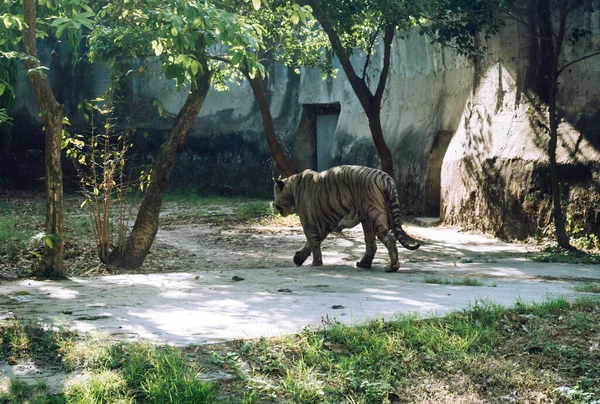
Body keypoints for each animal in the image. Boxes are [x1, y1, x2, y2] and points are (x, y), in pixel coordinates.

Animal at [274, 166, 420, 274]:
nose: (275, 206)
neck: (293, 186)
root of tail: (385, 177)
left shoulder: (308, 222)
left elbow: (313, 243)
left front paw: (315, 264)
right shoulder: (323, 224)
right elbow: (311, 243)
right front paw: (298, 258)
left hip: (374, 215)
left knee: (389, 238)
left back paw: (392, 267)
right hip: (367, 219)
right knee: (371, 243)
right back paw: (363, 264)